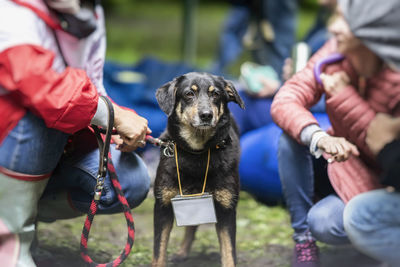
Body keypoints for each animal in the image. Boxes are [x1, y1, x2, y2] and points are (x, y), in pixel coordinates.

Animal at [150, 72, 244, 266]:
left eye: (216, 94)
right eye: (188, 94)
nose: (206, 115)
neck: (197, 153)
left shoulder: (227, 208)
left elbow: (229, 253)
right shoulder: (162, 206)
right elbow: (158, 251)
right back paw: (182, 253)